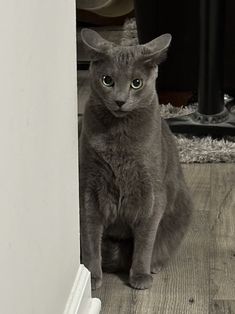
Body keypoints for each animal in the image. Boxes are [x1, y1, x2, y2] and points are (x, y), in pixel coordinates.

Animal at [79, 28, 193, 290]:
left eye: (136, 83)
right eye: (107, 80)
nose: (120, 101)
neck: (119, 140)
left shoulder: (151, 192)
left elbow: (145, 242)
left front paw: (140, 276)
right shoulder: (89, 189)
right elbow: (90, 239)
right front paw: (92, 276)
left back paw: (154, 266)